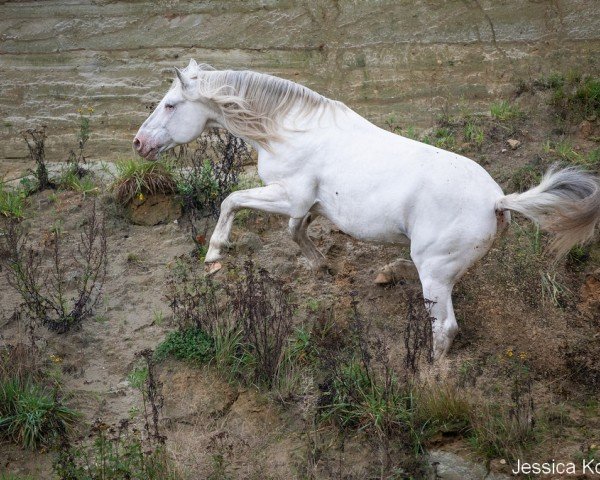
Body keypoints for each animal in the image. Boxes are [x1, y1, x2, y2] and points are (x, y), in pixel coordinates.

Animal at [136, 59, 600, 360]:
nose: (139, 144)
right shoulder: (309, 204)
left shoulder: (290, 194)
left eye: (171, 105)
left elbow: (231, 200)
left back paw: (429, 373)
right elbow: (294, 232)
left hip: (434, 271)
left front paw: (214, 254)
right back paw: (389, 274)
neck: (288, 131)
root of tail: (496, 200)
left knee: (444, 329)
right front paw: (319, 264)